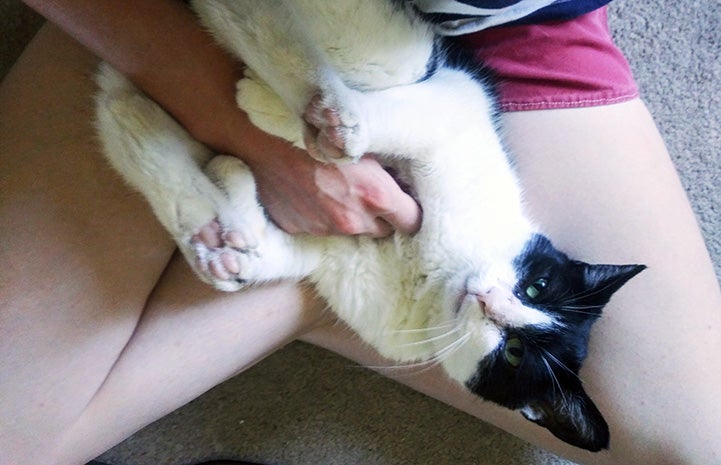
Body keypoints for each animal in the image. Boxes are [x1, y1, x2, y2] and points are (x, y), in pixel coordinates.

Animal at [93, 0, 644, 450]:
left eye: (513, 353)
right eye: (537, 284)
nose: (487, 300)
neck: (431, 271)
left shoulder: (330, 256)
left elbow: (262, 254)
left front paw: (220, 223)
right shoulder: (460, 100)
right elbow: (397, 112)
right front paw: (293, 111)